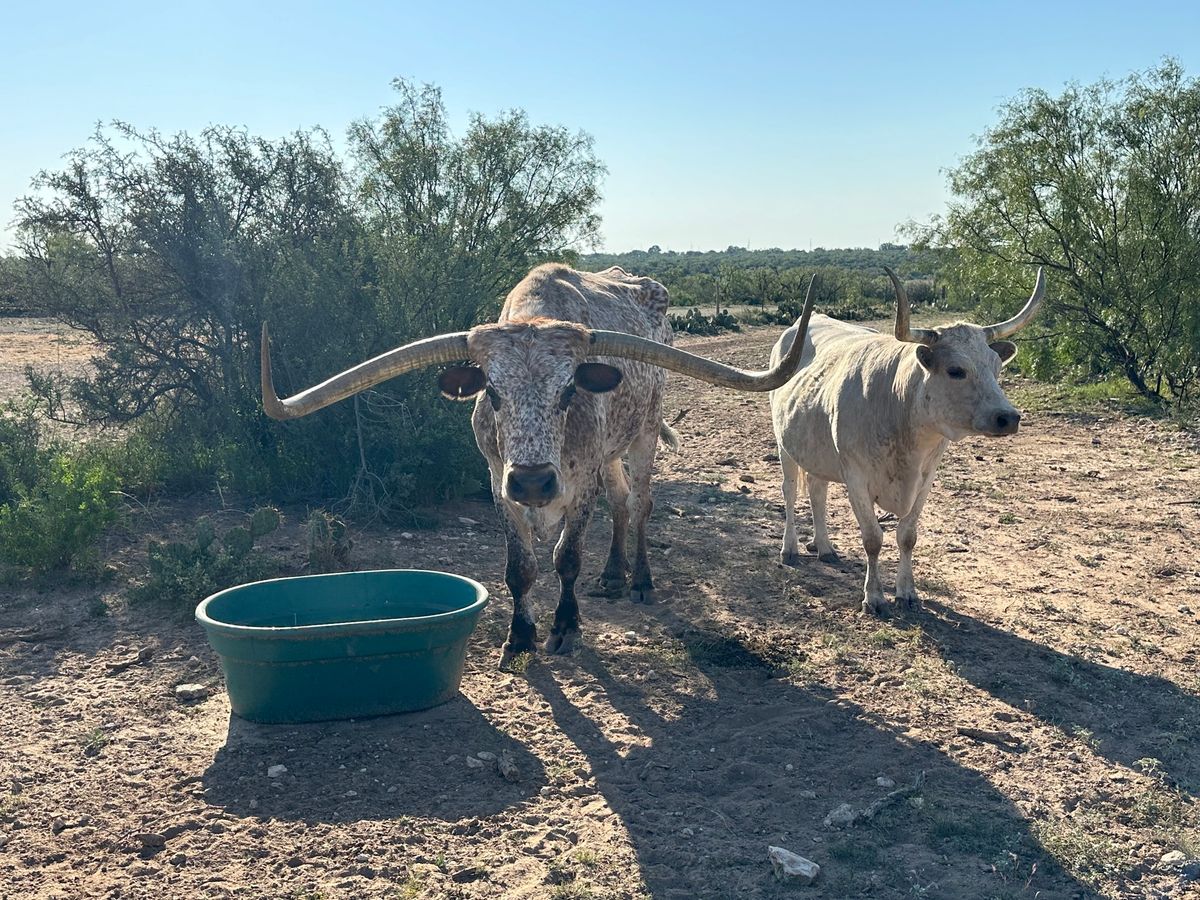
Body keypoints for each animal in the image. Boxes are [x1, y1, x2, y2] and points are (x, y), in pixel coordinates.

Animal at [265, 264, 816, 667]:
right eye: (492, 391)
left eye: (569, 389)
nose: (532, 481)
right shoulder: (498, 486)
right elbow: (521, 568)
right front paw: (520, 636)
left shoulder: (579, 485)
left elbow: (566, 558)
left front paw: (565, 629)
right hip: (608, 454)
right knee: (621, 502)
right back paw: (613, 574)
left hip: (642, 434)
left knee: (640, 503)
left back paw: (639, 579)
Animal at [772, 267, 1046, 619]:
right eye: (955, 370)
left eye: (997, 368)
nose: (1008, 417)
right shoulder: (856, 477)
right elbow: (873, 539)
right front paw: (874, 597)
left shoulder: (926, 478)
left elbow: (907, 536)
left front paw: (907, 593)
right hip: (785, 446)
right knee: (791, 491)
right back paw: (789, 548)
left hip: (816, 451)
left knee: (818, 492)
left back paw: (825, 547)